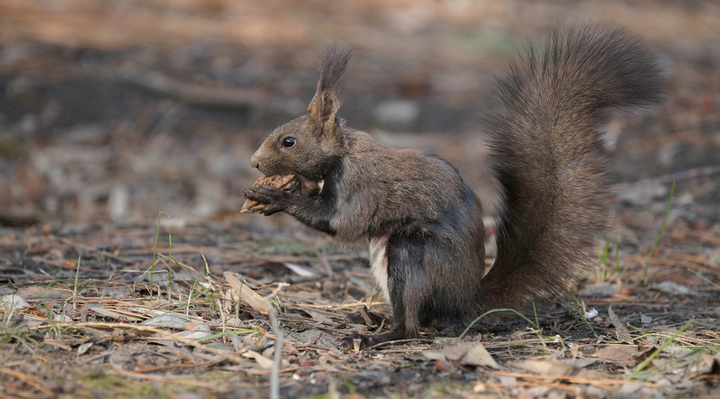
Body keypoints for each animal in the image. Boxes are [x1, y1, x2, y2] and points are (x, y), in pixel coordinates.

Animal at [246, 25, 664, 350]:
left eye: (288, 142)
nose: (254, 163)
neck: (343, 153)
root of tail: (465, 301)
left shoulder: (361, 184)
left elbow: (343, 224)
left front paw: (276, 196)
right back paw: (373, 320)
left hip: (413, 256)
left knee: (414, 326)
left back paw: (381, 336)